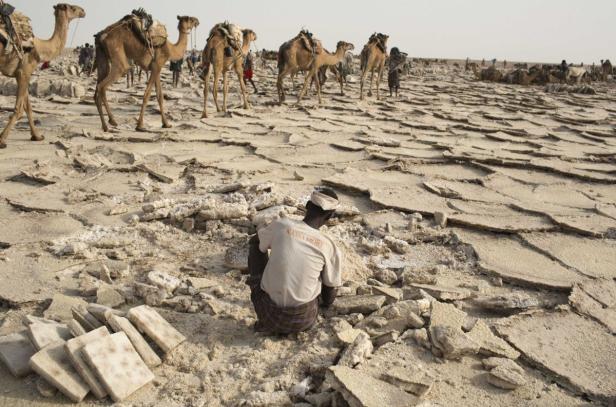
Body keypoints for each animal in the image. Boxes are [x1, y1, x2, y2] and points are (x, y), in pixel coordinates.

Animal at [0, 3, 85, 148]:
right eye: (72, 8)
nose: (83, 11)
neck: (40, 48)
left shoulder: (20, 74)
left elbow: (28, 107)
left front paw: (37, 136)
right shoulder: (24, 71)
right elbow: (19, 109)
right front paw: (1, 140)